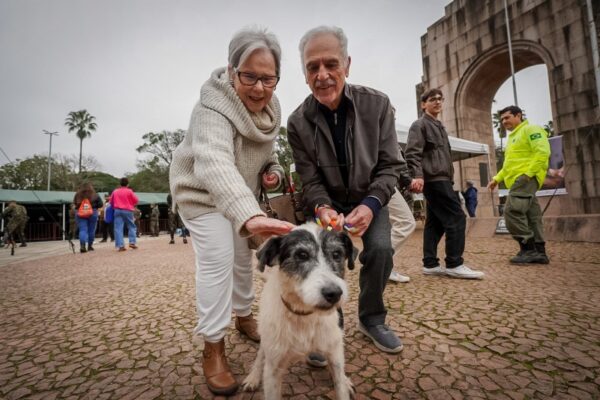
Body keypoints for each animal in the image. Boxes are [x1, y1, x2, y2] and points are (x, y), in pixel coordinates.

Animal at [243, 223, 356, 398]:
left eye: (337, 254)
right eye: (302, 255)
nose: (334, 293)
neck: (304, 315)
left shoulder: (335, 353)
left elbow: (340, 385)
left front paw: (344, 381)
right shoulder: (273, 368)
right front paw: (254, 376)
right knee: (261, 354)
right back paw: (253, 377)